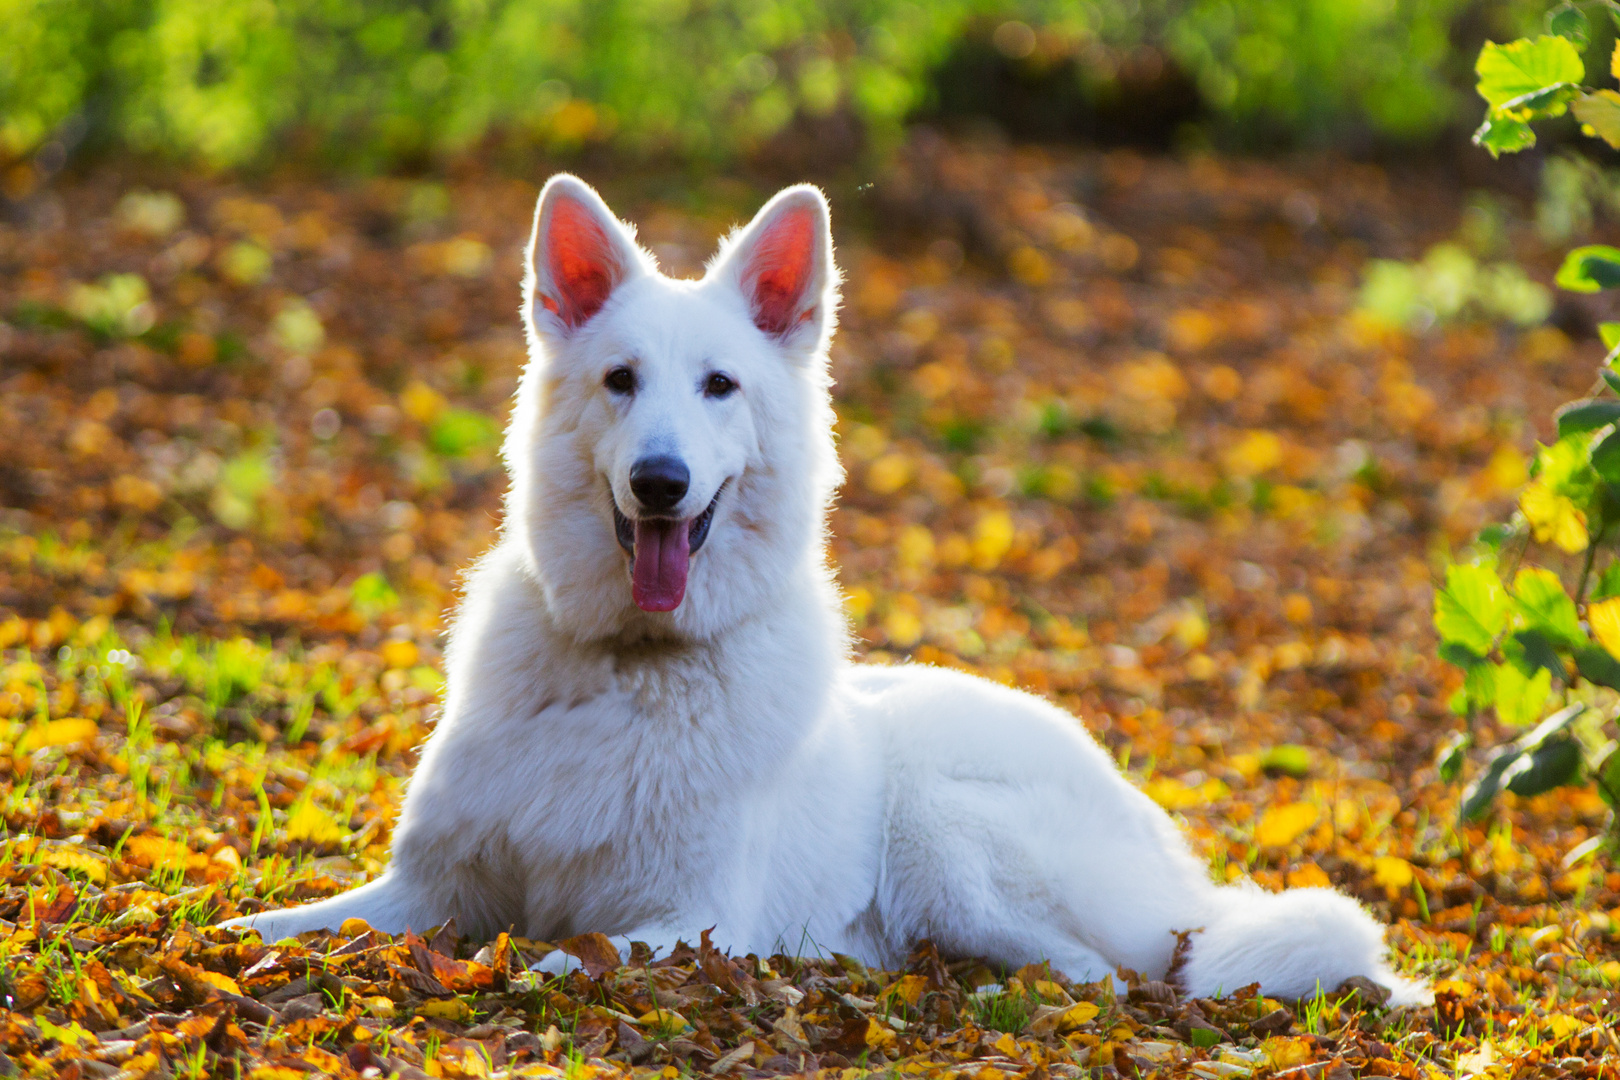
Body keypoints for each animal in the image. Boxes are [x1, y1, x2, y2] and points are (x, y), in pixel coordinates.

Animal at [225, 173, 1432, 1010]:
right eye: (621, 382)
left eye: (719, 386)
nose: (659, 483)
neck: (628, 668)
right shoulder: (426, 889)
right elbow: (294, 923)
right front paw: (225, 939)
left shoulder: (695, 916)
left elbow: (566, 952)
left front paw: (515, 969)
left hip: (946, 828)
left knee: (1112, 972)